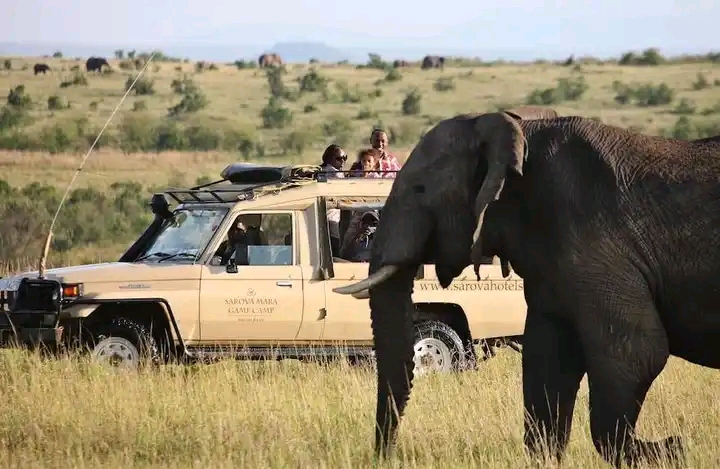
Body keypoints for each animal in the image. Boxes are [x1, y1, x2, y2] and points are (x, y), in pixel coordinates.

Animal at [334, 110, 720, 468]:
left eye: (420, 189)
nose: (385, 456)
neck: (519, 134)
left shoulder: (599, 243)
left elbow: (635, 352)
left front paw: (672, 450)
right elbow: (547, 359)